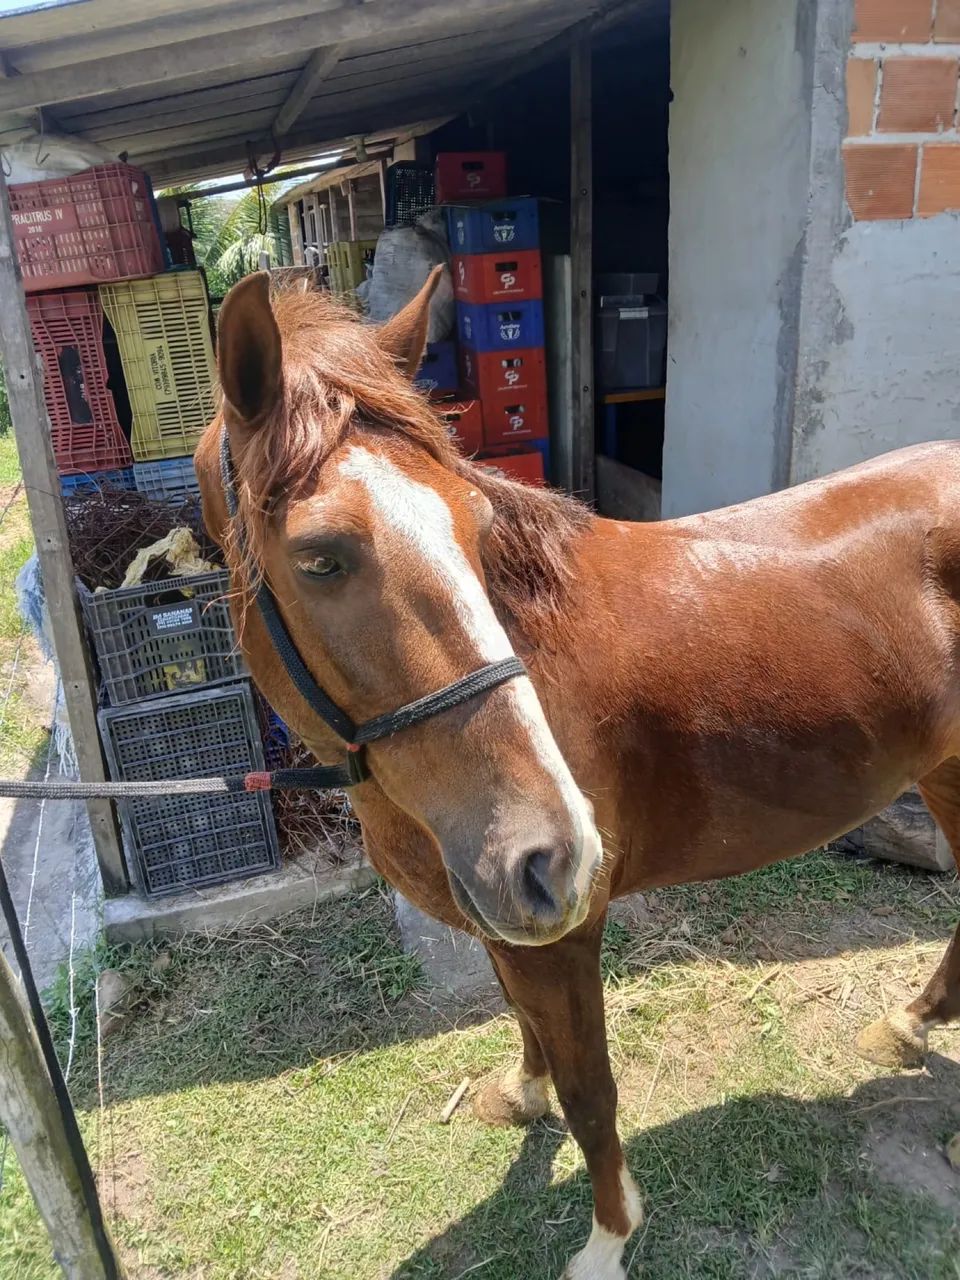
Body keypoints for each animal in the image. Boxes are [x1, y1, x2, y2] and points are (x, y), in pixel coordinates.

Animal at [195, 267, 960, 1280]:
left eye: (475, 524)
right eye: (319, 558)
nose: (556, 851)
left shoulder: (566, 931)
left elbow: (592, 1090)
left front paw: (608, 1238)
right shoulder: (507, 915)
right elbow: (525, 1027)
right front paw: (521, 1095)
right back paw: (910, 1024)